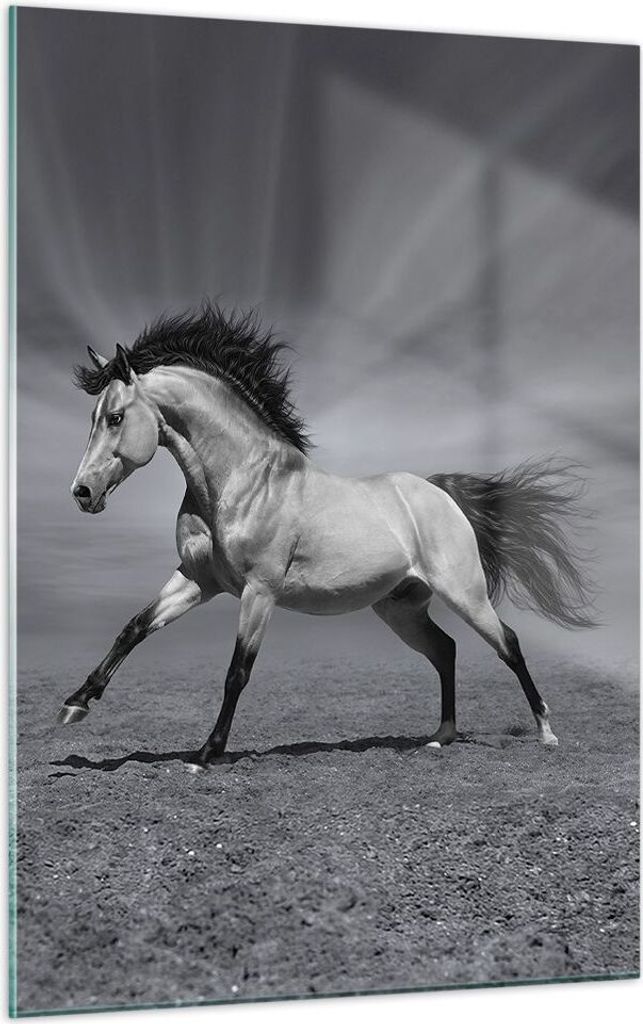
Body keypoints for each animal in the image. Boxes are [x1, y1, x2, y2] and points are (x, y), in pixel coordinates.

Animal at [61, 302, 595, 770]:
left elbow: (237, 671)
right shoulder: (198, 580)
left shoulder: (258, 592)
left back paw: (546, 732)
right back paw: (440, 737)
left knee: (508, 643)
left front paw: (207, 754)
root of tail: (438, 492)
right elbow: (134, 627)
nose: (82, 493)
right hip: (400, 608)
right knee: (446, 650)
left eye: (115, 417)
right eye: (93, 418)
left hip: (465, 594)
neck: (240, 482)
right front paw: (76, 703)